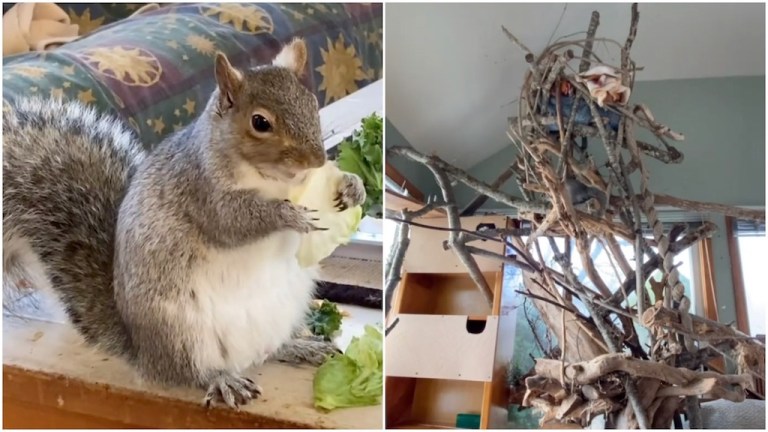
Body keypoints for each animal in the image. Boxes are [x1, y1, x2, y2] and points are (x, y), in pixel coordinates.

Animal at [3, 38, 368, 408]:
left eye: (311, 102)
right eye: (260, 122)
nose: (317, 160)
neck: (276, 180)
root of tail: (143, 352)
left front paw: (353, 187)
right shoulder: (201, 190)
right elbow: (234, 220)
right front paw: (290, 215)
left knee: (269, 349)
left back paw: (300, 346)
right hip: (181, 333)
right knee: (192, 372)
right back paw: (224, 380)